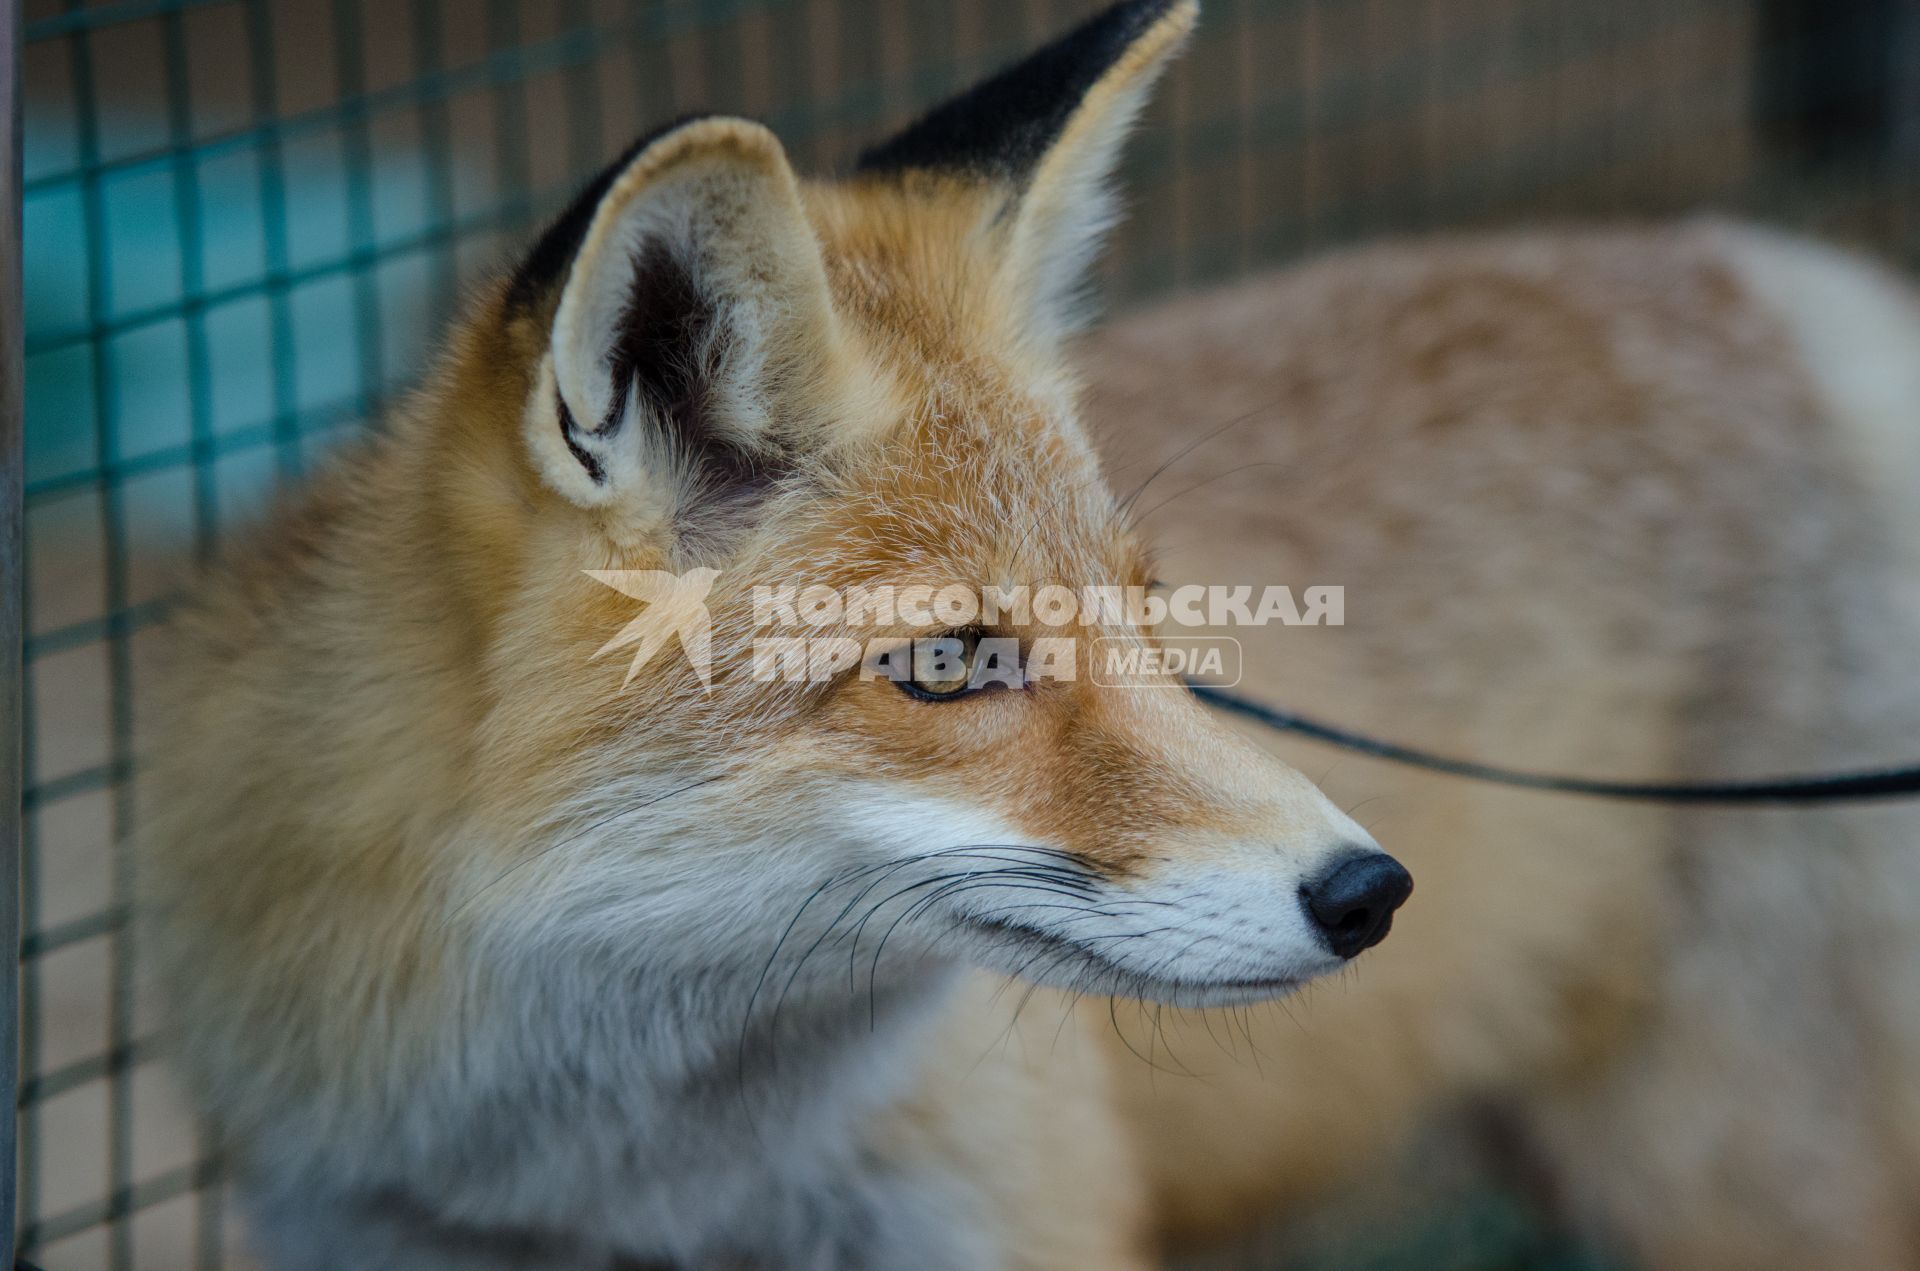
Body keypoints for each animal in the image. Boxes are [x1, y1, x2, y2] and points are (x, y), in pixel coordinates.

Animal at [139, 0, 1920, 1267]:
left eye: (1150, 606)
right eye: (951, 661)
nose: (1370, 891)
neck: (627, 1193)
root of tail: (1756, 265)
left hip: (1727, 1175)